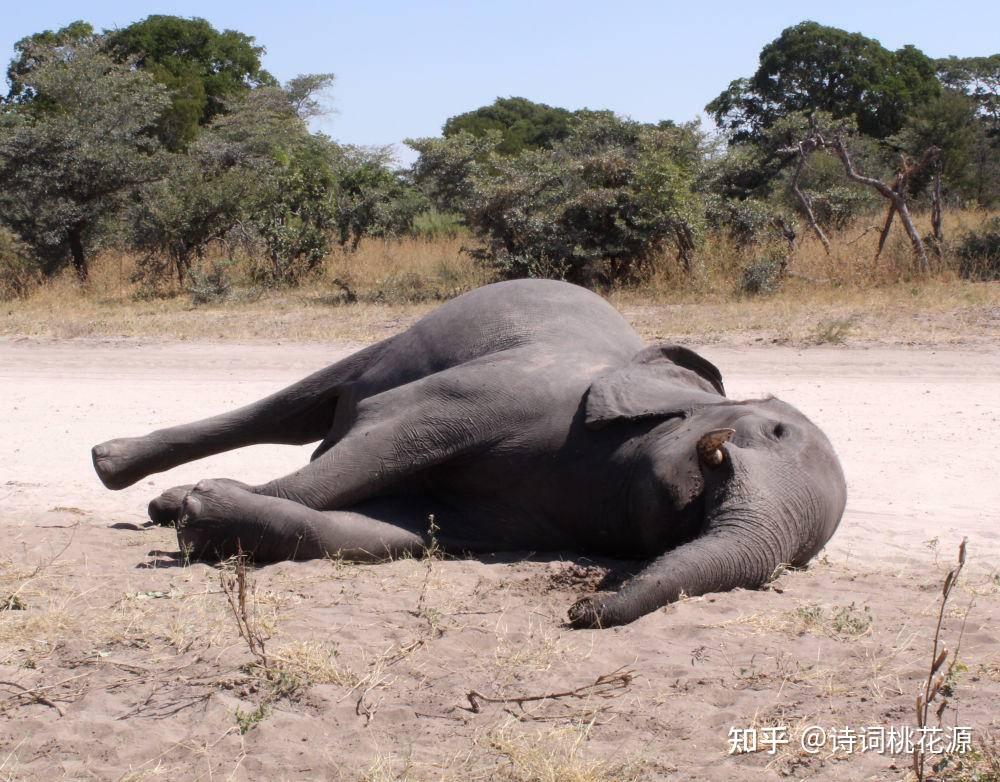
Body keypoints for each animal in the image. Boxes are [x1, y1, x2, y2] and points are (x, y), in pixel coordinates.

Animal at [92, 282, 844, 632]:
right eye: (775, 431)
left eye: (799, 562)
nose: (583, 609)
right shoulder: (519, 392)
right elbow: (382, 439)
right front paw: (190, 509)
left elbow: (391, 531)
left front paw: (201, 516)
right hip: (405, 338)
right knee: (296, 409)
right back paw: (116, 468)